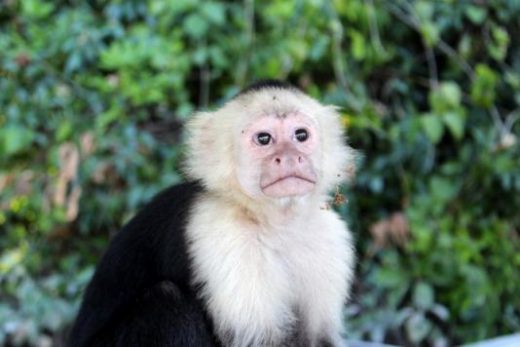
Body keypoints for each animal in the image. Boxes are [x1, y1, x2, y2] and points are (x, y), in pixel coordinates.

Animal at [68, 80, 354, 346]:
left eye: (301, 135)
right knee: (167, 303)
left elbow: (318, 338)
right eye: (264, 139)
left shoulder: (330, 235)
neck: (275, 221)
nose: (290, 157)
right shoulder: (224, 234)